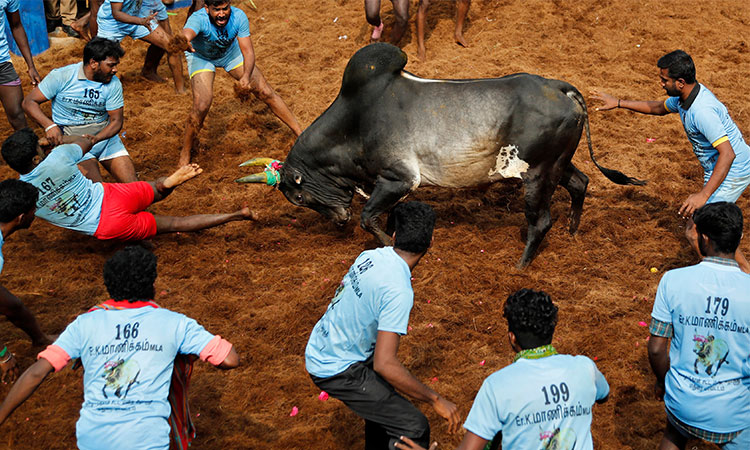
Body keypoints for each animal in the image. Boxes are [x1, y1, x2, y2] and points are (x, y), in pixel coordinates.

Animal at [236, 43, 648, 268]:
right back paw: (573, 231)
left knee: (541, 221)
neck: (355, 119)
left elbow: (370, 219)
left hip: (536, 173)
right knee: (581, 182)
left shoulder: (400, 178)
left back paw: (521, 265)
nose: (338, 219)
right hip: (556, 165)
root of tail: (561, 88)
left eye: (299, 195)